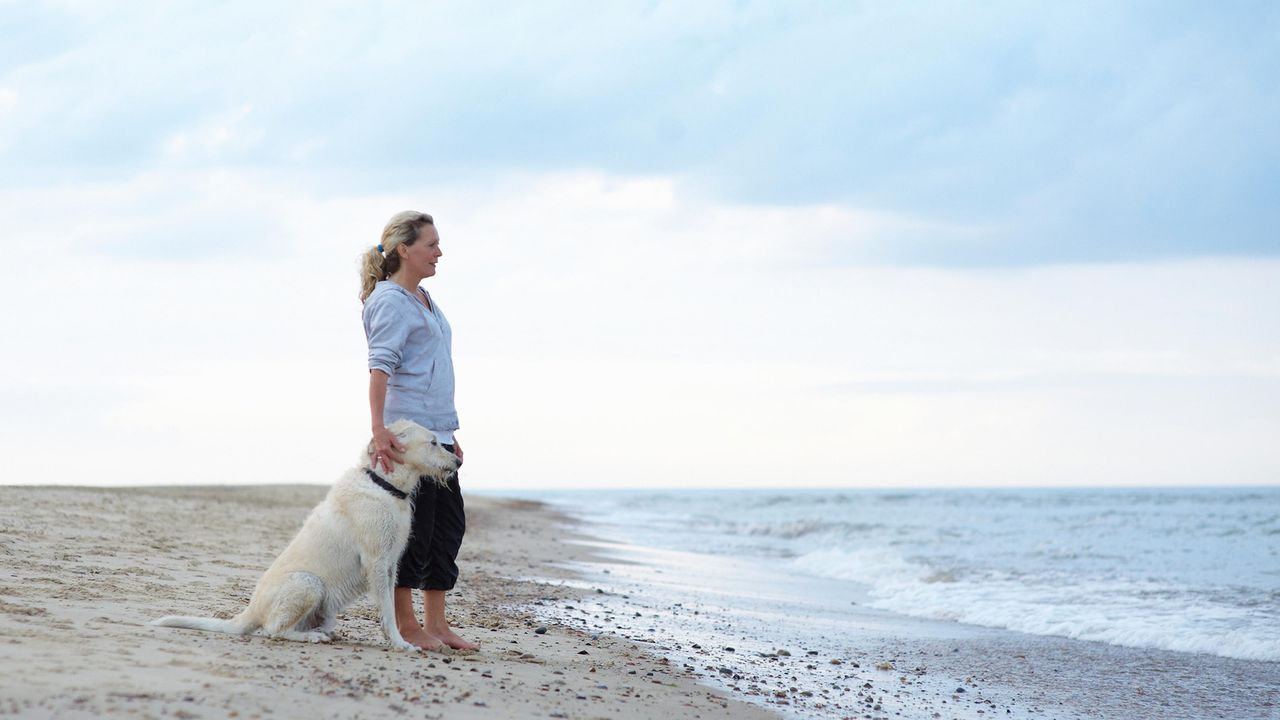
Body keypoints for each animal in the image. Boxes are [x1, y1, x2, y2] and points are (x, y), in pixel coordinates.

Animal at [151, 417, 460, 648]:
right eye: (433, 442)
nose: (458, 462)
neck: (382, 484)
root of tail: (250, 610)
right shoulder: (377, 562)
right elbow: (388, 610)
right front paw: (400, 642)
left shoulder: (391, 563)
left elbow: (392, 605)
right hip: (309, 583)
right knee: (273, 629)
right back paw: (311, 637)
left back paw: (323, 632)